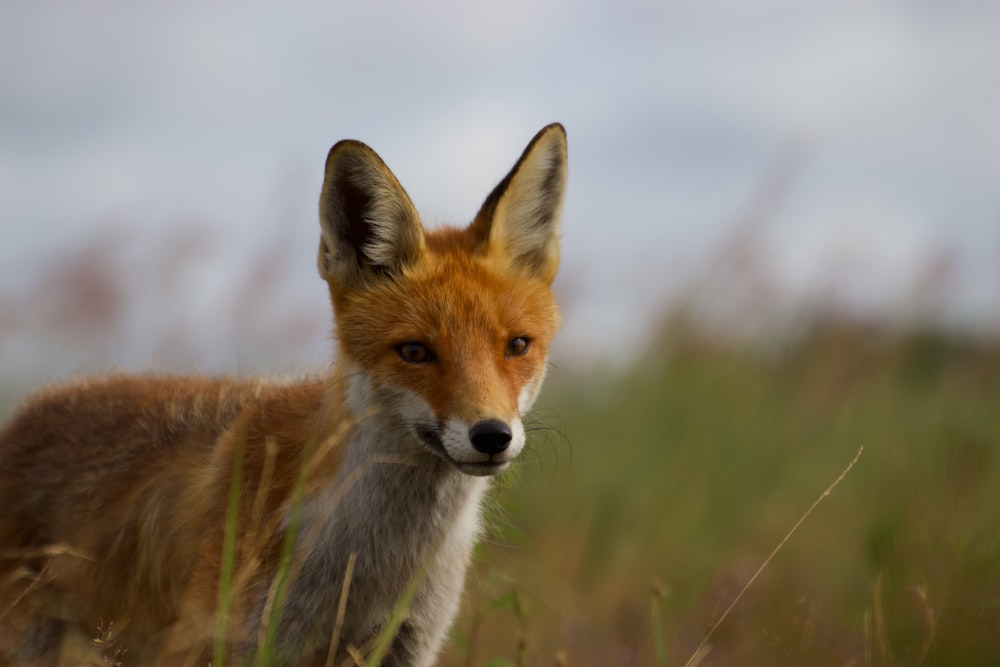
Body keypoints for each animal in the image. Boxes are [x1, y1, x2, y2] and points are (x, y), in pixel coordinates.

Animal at [0, 122, 568, 664]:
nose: (491, 436)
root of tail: (25, 414)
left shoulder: (404, 647)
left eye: (518, 345)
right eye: (414, 352)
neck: (365, 569)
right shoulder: (210, 644)